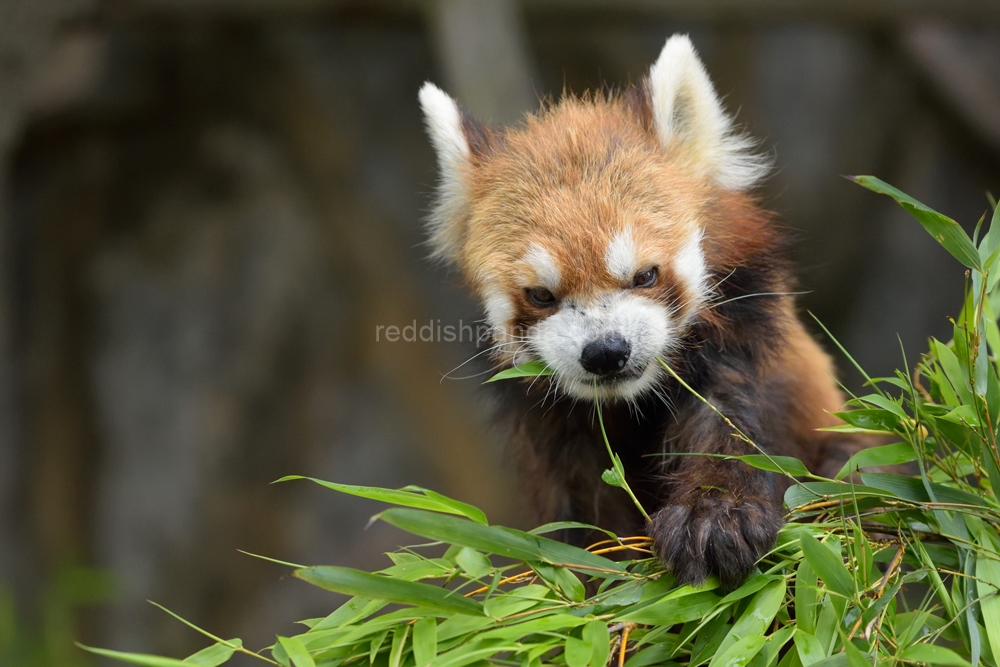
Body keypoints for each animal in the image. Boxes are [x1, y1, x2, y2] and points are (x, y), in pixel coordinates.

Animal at [418, 35, 864, 588]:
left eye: (645, 275)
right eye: (541, 295)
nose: (605, 352)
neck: (630, 400)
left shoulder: (744, 340)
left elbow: (730, 422)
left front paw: (716, 517)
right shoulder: (553, 427)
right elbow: (578, 513)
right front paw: (591, 568)